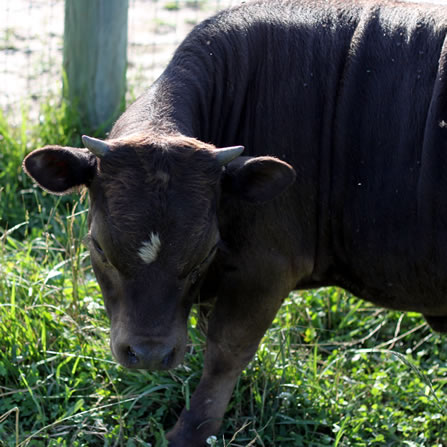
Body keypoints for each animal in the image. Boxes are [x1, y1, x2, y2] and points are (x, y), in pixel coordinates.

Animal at [23, 0, 447, 446]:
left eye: (206, 250)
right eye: (100, 247)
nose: (150, 354)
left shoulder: (266, 267)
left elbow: (226, 350)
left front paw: (192, 430)